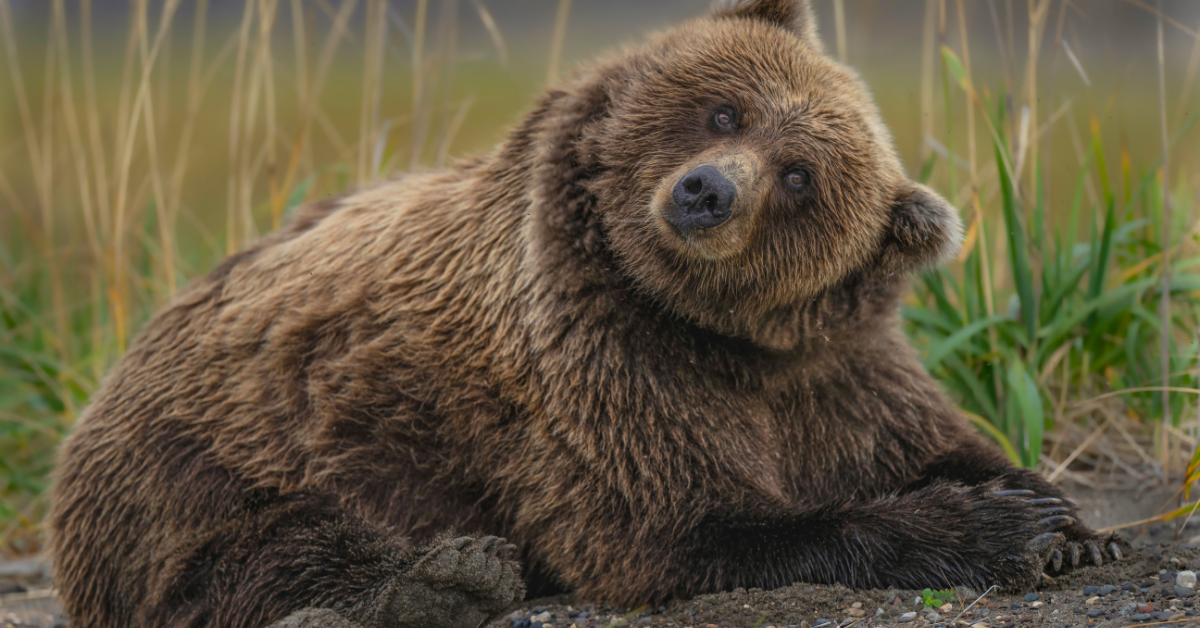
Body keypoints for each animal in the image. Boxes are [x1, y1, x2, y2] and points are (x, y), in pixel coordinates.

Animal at [46, 1, 1123, 628]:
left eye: (799, 175)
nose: (704, 191)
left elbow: (928, 433)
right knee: (268, 556)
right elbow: (670, 524)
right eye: (726, 110)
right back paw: (446, 579)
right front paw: (998, 528)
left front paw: (1070, 521)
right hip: (208, 461)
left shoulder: (831, 368)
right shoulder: (591, 359)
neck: (714, 332)